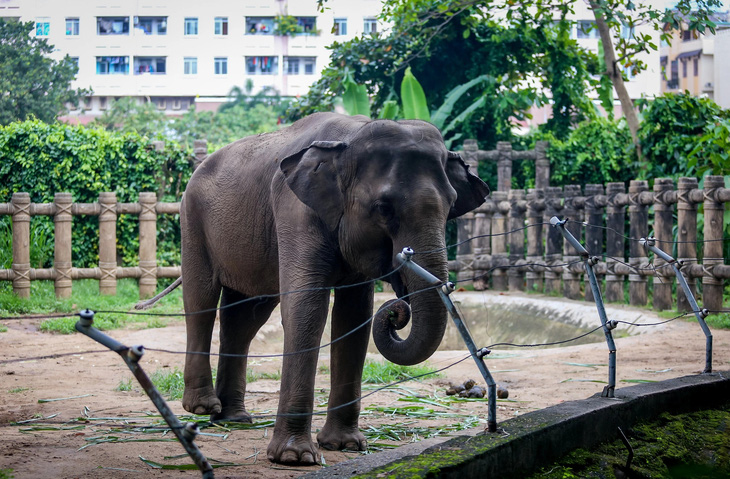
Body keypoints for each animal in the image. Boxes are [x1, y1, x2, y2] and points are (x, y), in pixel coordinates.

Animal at [159, 112, 486, 464]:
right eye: (383, 208)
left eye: (452, 204)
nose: (397, 310)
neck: (351, 136)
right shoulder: (295, 211)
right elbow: (307, 309)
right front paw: (295, 457)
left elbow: (354, 316)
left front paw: (345, 445)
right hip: (193, 220)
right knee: (201, 301)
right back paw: (202, 407)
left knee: (245, 318)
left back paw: (234, 418)